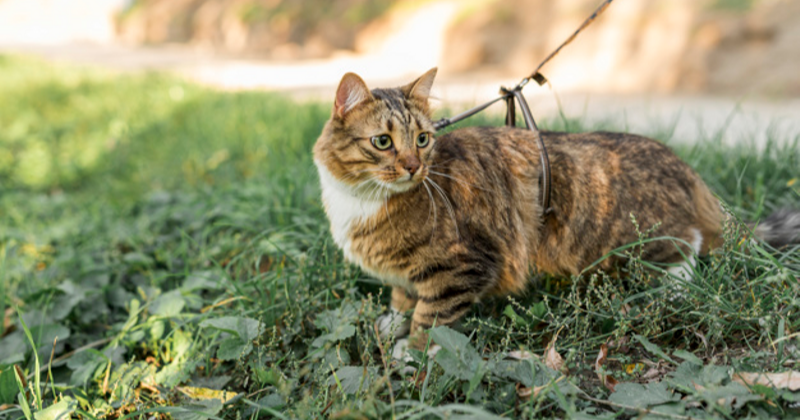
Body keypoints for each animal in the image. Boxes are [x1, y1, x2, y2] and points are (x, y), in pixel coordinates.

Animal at [312, 67, 800, 352]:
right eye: (382, 142)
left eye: (422, 139)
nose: (414, 166)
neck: (359, 200)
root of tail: (683, 165)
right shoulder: (406, 273)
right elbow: (401, 299)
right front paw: (390, 324)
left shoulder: (462, 264)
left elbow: (429, 318)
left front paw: (409, 353)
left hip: (640, 240)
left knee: (688, 249)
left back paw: (672, 291)